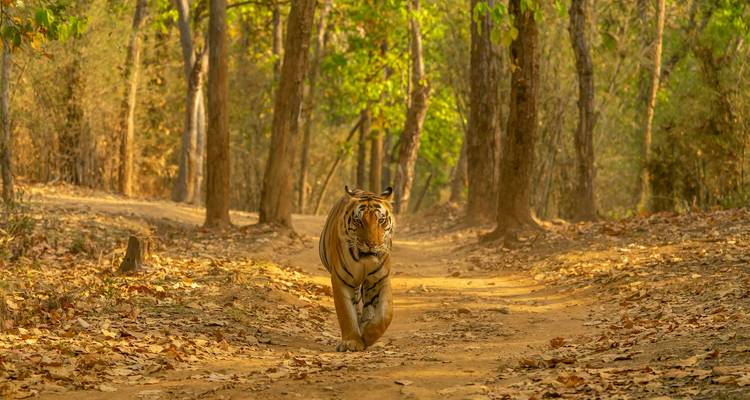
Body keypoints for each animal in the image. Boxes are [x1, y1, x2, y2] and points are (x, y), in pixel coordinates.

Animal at [319, 186, 395, 352]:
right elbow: (346, 313)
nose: (371, 244)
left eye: (381, 220)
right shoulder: (341, 279)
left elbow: (385, 315)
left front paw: (367, 336)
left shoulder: (381, 279)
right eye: (358, 221)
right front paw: (352, 341)